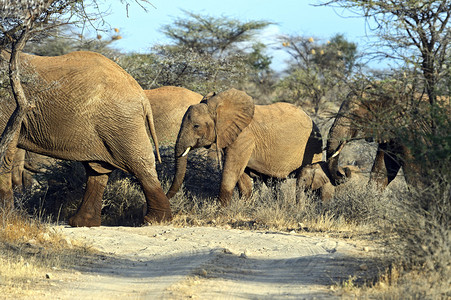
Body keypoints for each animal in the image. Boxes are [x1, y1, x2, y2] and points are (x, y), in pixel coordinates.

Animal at [0, 50, 171, 226]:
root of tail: (143, 95)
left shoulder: (10, 105)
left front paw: (6, 218)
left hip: (123, 123)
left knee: (139, 164)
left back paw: (155, 220)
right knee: (97, 170)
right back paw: (82, 222)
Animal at [168, 88, 324, 205]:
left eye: (196, 126)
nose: (168, 197)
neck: (219, 107)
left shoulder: (244, 137)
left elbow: (231, 171)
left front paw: (221, 210)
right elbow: (242, 177)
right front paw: (246, 206)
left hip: (313, 148)